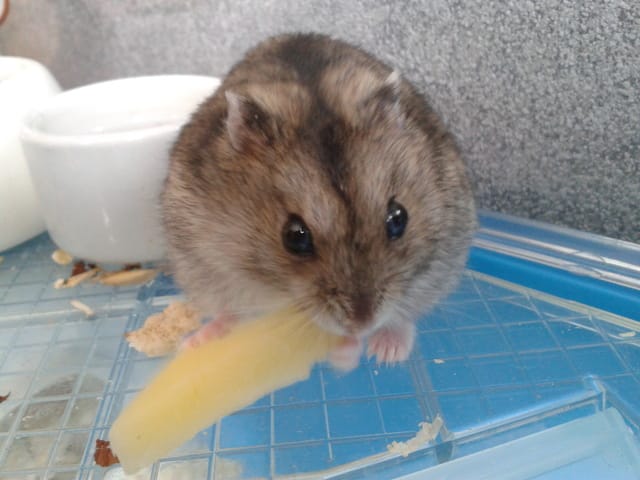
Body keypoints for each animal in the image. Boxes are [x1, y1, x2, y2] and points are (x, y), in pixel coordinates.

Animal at [162, 33, 476, 370]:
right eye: (294, 237)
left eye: (399, 218)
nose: (362, 323)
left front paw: (351, 352)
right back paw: (195, 342)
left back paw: (387, 352)